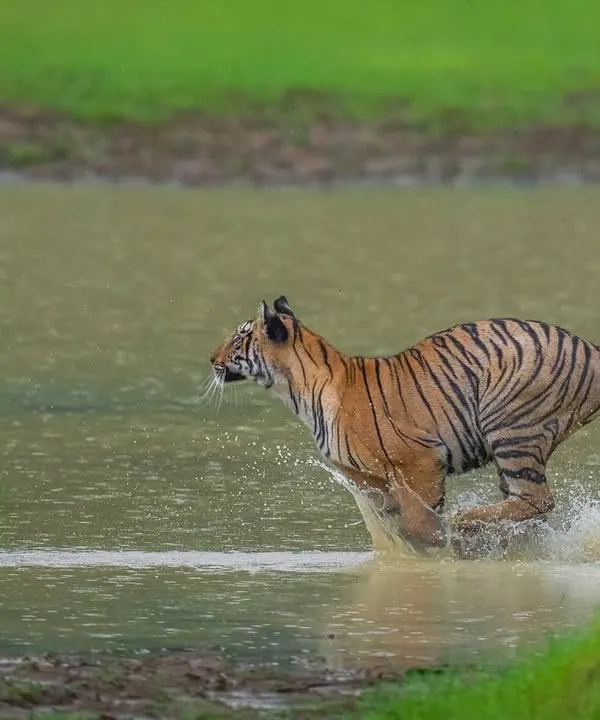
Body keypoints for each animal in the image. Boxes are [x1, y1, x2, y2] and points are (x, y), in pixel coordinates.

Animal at [209, 296, 600, 554]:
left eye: (239, 337)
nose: (211, 358)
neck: (298, 392)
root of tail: (587, 346)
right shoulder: (371, 478)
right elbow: (396, 521)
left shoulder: (419, 460)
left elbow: (418, 523)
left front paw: (446, 543)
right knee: (527, 510)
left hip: (511, 427)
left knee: (537, 500)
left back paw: (466, 522)